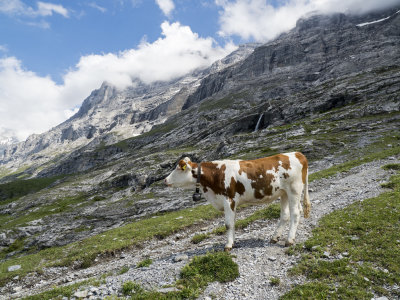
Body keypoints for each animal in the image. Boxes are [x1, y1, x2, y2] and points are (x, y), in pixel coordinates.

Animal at [164, 151, 310, 252]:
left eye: (179, 168)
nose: (165, 180)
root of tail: (297, 154)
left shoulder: (228, 200)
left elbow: (228, 224)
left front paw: (228, 245)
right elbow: (233, 223)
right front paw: (232, 242)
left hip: (294, 190)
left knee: (295, 213)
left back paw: (289, 240)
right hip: (284, 193)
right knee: (285, 215)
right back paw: (275, 237)